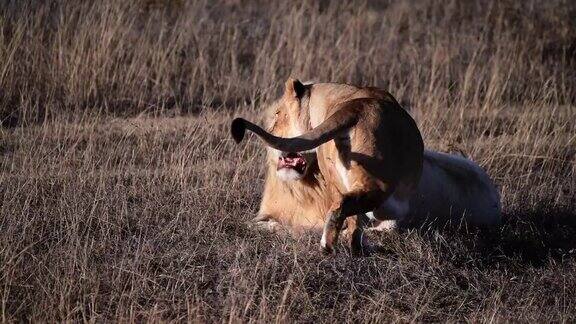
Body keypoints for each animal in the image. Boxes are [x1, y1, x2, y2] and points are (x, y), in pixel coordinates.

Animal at [232, 79, 502, 256]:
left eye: (278, 114)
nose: (271, 130)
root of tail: (357, 106)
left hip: (352, 184)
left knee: (352, 217)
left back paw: (350, 247)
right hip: (381, 185)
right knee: (353, 209)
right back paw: (336, 244)